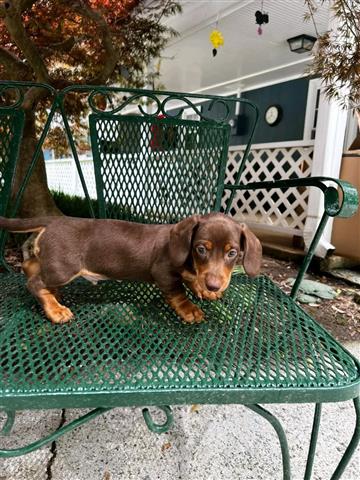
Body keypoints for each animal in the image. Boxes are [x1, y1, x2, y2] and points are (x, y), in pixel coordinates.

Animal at [0, 216, 260, 324]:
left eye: (232, 253)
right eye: (201, 249)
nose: (214, 285)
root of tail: (52, 221)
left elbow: (192, 278)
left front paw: (204, 290)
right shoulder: (164, 274)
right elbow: (178, 293)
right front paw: (190, 310)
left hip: (53, 264)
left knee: (30, 266)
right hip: (63, 268)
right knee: (34, 283)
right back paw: (55, 310)